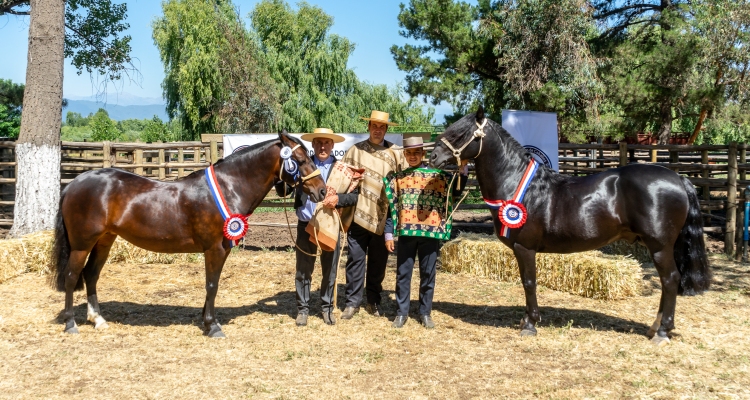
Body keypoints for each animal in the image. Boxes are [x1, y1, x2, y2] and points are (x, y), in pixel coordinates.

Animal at [50, 132, 326, 338]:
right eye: (300, 159)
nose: (322, 191)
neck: (228, 187)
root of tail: (73, 184)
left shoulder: (222, 249)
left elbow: (212, 284)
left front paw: (206, 320)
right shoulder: (214, 249)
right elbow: (212, 284)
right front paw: (213, 326)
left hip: (104, 241)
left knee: (91, 275)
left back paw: (98, 319)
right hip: (82, 245)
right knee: (73, 276)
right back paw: (71, 324)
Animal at [432, 108, 712, 346]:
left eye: (459, 133)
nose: (434, 156)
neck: (518, 184)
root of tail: (678, 178)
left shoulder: (524, 248)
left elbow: (529, 282)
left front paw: (530, 324)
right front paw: (527, 320)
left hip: (660, 246)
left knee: (670, 279)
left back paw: (662, 332)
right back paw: (656, 327)